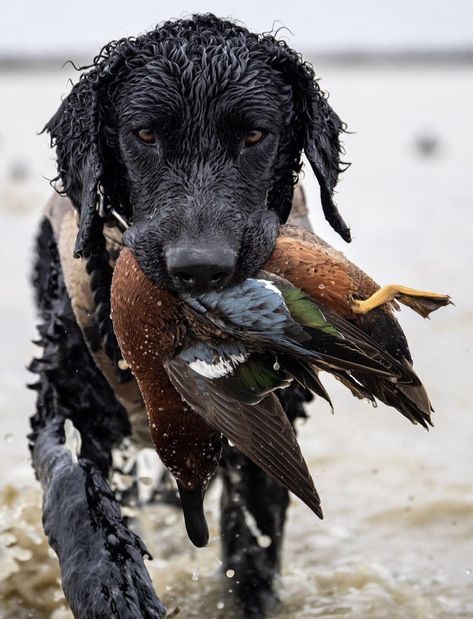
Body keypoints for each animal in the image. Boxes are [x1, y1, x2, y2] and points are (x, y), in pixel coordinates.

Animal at [28, 14, 346, 619]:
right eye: (146, 135)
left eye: (254, 136)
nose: (200, 268)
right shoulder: (64, 398)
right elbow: (73, 490)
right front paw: (113, 589)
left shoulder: (263, 423)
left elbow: (251, 550)